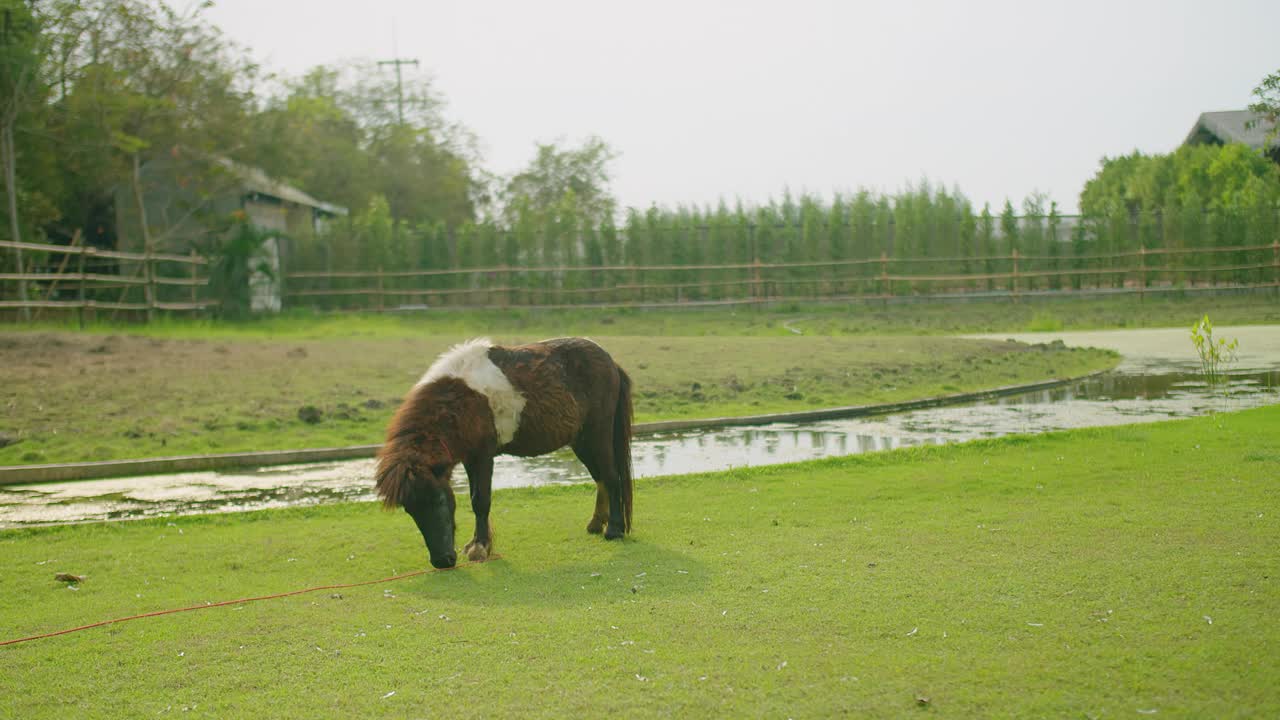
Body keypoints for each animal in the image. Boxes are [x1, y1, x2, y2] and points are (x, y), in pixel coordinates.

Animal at [373, 335, 634, 566]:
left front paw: (480, 548)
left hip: (598, 435)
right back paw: (596, 524)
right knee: (600, 478)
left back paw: (614, 530)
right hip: (581, 441)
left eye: (437, 500)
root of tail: (611, 362)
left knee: (611, 477)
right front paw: (478, 543)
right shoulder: (469, 458)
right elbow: (473, 498)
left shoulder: (483, 456)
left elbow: (480, 500)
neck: (462, 399)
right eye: (410, 510)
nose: (442, 561)